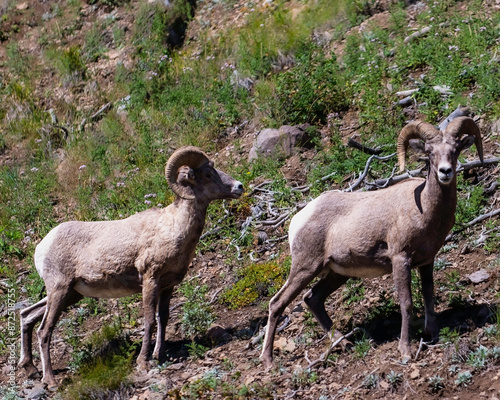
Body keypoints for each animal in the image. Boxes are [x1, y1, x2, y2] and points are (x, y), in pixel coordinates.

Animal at [19, 146, 244, 388]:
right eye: (208, 174)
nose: (239, 187)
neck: (173, 227)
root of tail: (42, 247)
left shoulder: (168, 286)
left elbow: (163, 318)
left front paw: (159, 356)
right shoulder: (150, 280)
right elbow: (149, 320)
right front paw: (143, 362)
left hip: (70, 294)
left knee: (27, 315)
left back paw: (30, 369)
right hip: (59, 290)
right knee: (44, 331)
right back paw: (50, 380)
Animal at [260, 116, 482, 368]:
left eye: (455, 150)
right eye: (429, 152)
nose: (445, 172)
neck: (424, 209)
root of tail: (297, 220)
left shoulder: (426, 262)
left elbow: (428, 296)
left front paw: (433, 336)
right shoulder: (400, 260)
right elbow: (407, 304)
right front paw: (405, 352)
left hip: (336, 273)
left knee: (312, 299)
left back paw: (344, 344)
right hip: (305, 268)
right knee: (277, 303)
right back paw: (268, 361)